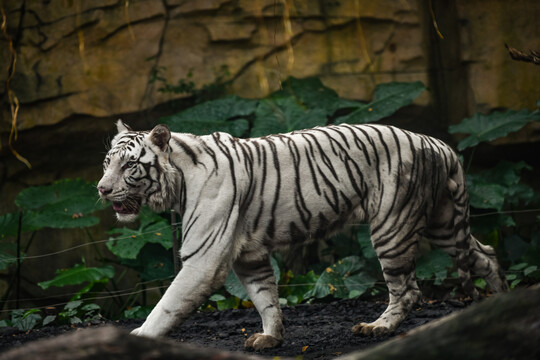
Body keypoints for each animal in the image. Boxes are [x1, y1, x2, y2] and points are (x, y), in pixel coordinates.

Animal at [99, 120, 508, 348]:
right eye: (106, 162)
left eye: (130, 165)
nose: (102, 189)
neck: (178, 182)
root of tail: (438, 144)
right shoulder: (249, 256)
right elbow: (265, 297)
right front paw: (271, 337)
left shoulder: (205, 258)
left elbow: (168, 304)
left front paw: (139, 337)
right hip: (445, 223)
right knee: (486, 253)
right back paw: (502, 301)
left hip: (392, 225)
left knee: (407, 290)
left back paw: (377, 327)